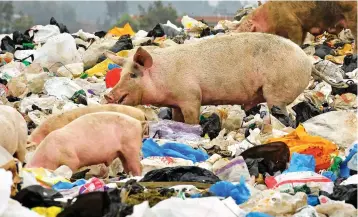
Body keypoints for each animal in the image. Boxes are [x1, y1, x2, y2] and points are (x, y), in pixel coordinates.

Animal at [103, 31, 346, 124]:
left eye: (133, 75)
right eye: (121, 74)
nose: (108, 96)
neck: (164, 75)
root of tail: (308, 62)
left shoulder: (191, 98)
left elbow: (192, 119)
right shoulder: (177, 103)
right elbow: (177, 119)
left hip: (277, 91)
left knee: (285, 114)